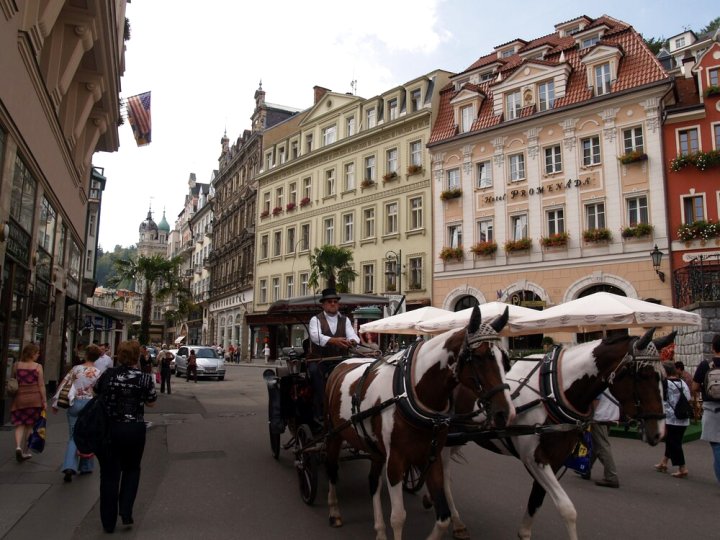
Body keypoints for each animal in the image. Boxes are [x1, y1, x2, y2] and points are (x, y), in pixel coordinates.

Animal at [324, 306, 516, 536]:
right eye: (479, 357)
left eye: (506, 361)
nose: (505, 413)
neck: (410, 391)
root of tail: (342, 363)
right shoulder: (395, 461)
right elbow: (398, 517)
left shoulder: (431, 457)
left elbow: (443, 517)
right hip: (334, 435)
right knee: (332, 470)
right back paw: (334, 511)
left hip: (374, 447)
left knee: (373, 482)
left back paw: (379, 530)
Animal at [438, 326, 676, 536]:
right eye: (643, 375)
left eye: (663, 377)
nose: (658, 432)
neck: (551, 391)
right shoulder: (534, 459)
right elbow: (567, 509)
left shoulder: (556, 459)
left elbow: (536, 501)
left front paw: (524, 533)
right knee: (445, 477)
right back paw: (455, 520)